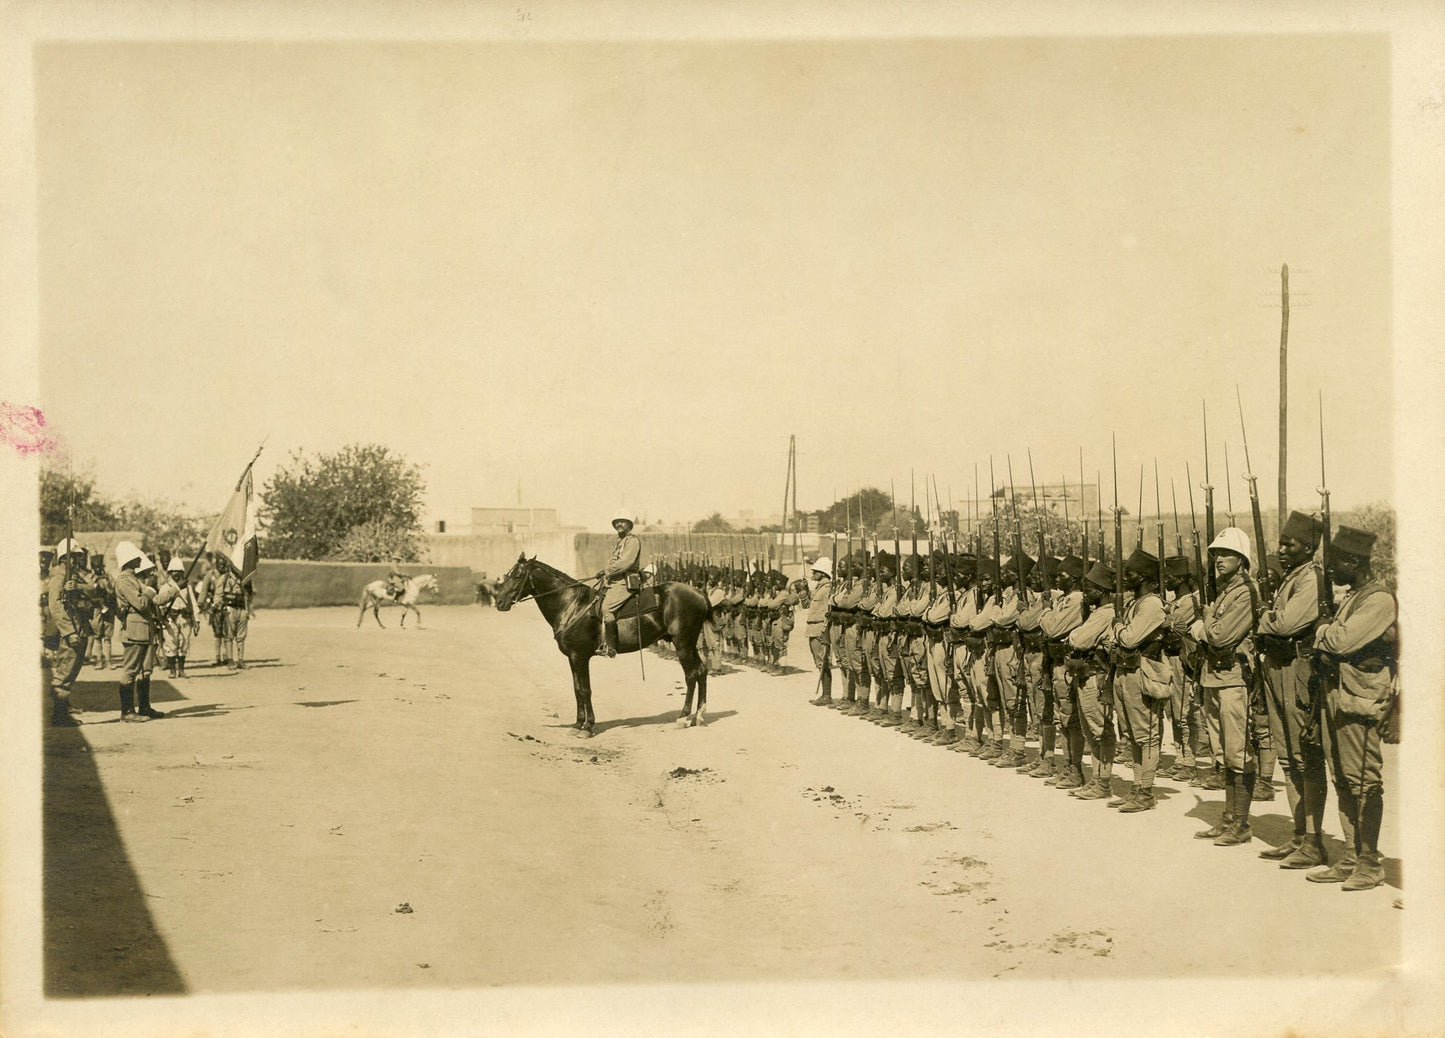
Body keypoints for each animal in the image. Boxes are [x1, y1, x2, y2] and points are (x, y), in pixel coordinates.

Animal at [494, 552, 713, 740]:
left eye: (517, 575)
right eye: (508, 574)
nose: (499, 602)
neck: (572, 605)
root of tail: (699, 593)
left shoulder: (579, 656)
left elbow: (585, 690)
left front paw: (587, 727)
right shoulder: (573, 658)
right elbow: (577, 689)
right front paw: (578, 724)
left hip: (683, 644)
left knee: (691, 675)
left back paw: (683, 717)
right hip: (689, 645)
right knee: (701, 671)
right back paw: (699, 716)